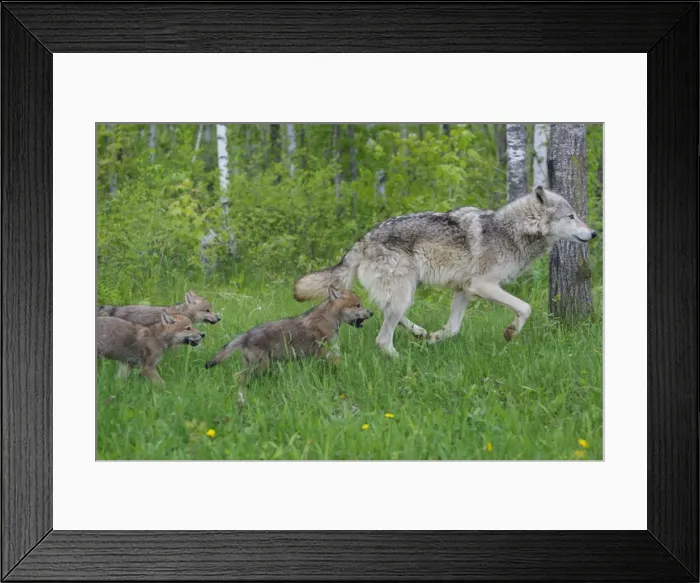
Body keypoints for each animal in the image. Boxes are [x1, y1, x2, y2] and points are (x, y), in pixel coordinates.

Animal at [204, 286, 372, 381]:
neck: (329, 318)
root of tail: (246, 334)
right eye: (358, 305)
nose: (371, 313)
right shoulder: (326, 352)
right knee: (239, 377)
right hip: (259, 367)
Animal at [294, 186, 597, 357]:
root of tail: (363, 238)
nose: (594, 233)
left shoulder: (464, 290)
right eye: (571, 216)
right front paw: (511, 332)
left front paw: (434, 338)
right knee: (382, 338)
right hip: (405, 292)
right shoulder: (483, 286)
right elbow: (525, 308)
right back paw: (399, 359)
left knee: (383, 311)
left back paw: (419, 333)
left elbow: (452, 328)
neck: (511, 232)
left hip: (405, 291)